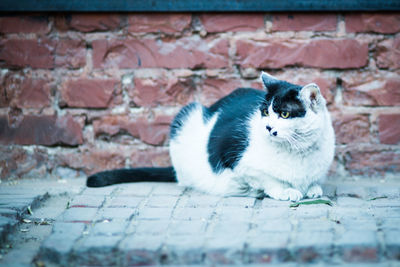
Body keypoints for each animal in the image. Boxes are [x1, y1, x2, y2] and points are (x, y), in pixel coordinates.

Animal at [87, 72, 334, 202]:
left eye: (284, 114)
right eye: (265, 112)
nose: (267, 127)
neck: (297, 150)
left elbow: (313, 181)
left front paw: (313, 188)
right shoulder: (237, 158)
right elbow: (267, 179)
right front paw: (286, 191)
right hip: (185, 116)